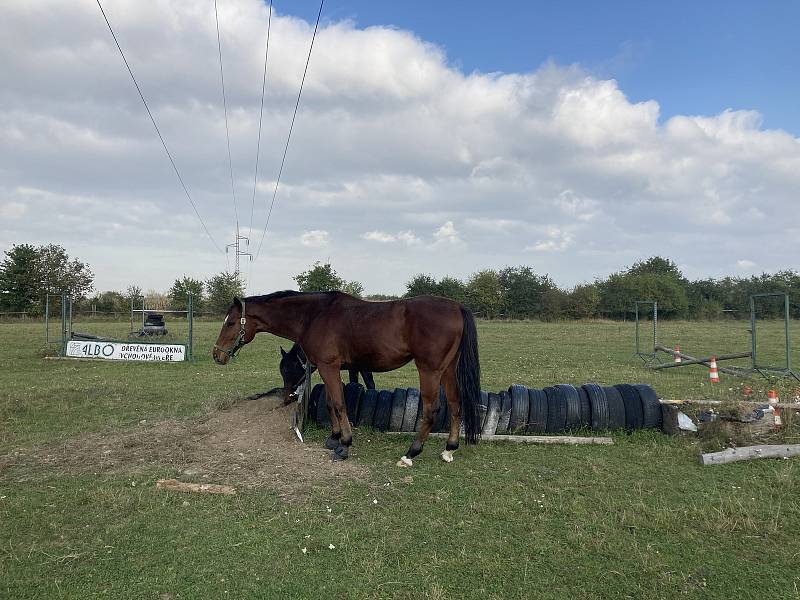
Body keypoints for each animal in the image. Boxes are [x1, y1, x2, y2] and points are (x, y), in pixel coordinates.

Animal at [211, 290, 482, 464]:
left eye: (231, 322)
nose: (217, 355)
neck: (314, 315)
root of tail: (456, 307)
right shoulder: (330, 368)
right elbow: (331, 403)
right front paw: (333, 438)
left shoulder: (329, 367)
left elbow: (340, 404)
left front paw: (344, 445)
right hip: (448, 370)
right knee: (456, 404)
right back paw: (449, 449)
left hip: (429, 370)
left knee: (432, 409)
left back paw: (411, 453)